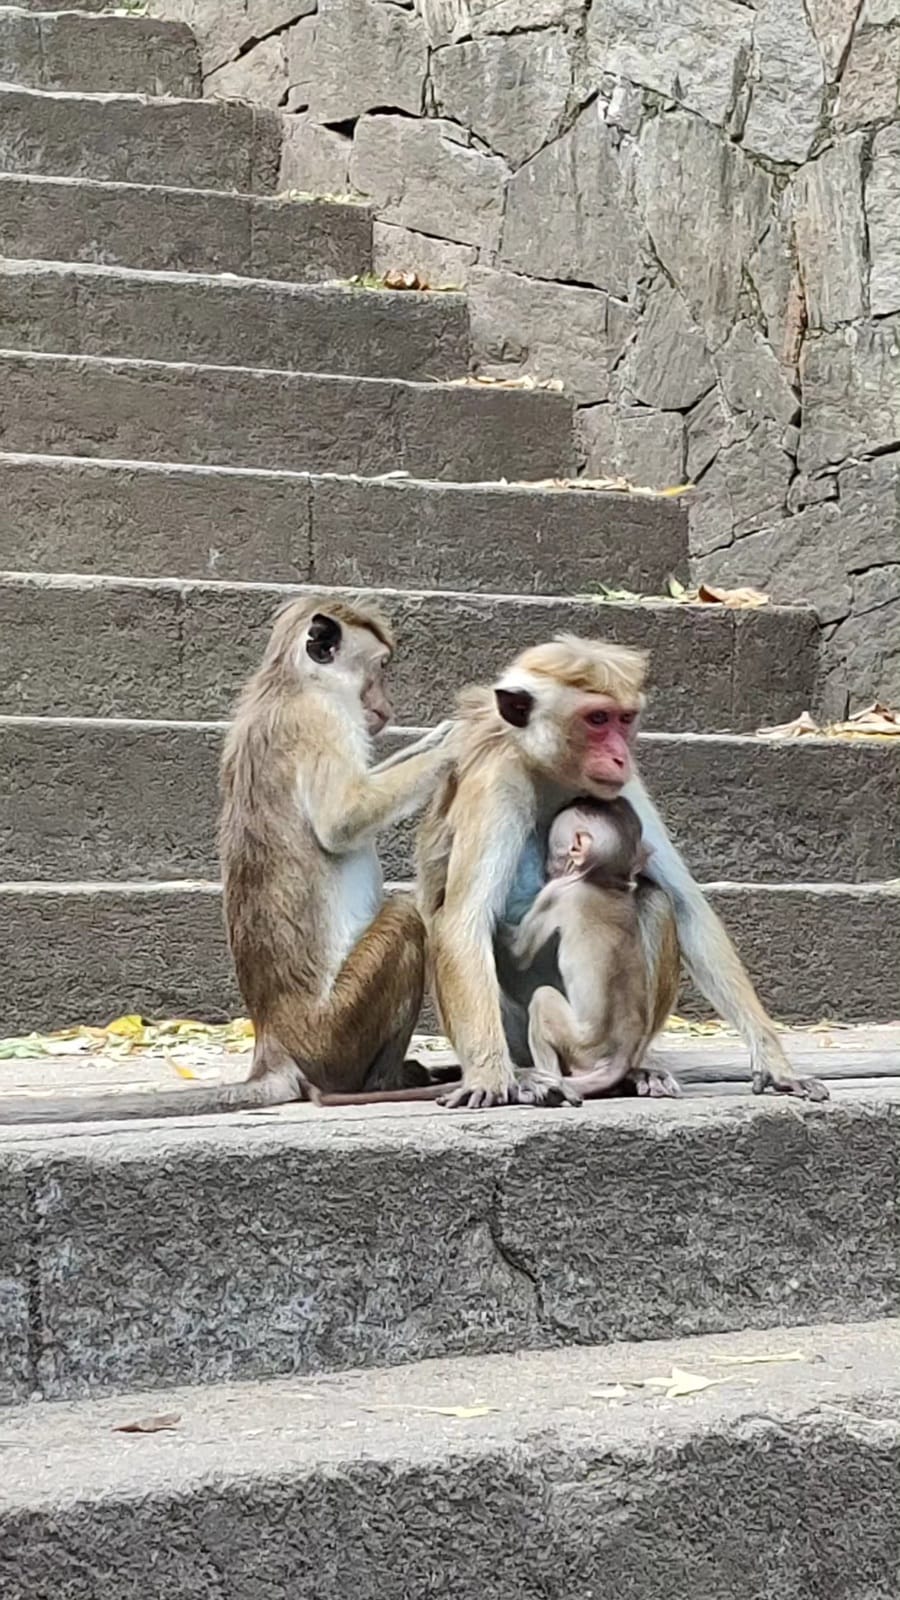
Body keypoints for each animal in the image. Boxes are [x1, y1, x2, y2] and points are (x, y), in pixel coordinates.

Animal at [0, 595, 463, 1126]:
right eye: (380, 669)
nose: (386, 708)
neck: (293, 682)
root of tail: (274, 1048)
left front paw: (440, 736)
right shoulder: (322, 720)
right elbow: (342, 821)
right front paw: (457, 740)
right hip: (335, 1031)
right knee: (405, 918)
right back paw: (385, 1082)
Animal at [508, 796, 681, 1102]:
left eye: (553, 851)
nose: (547, 868)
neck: (601, 880)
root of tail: (619, 1058)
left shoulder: (555, 893)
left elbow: (519, 954)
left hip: (578, 1043)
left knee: (542, 998)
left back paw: (550, 1081)